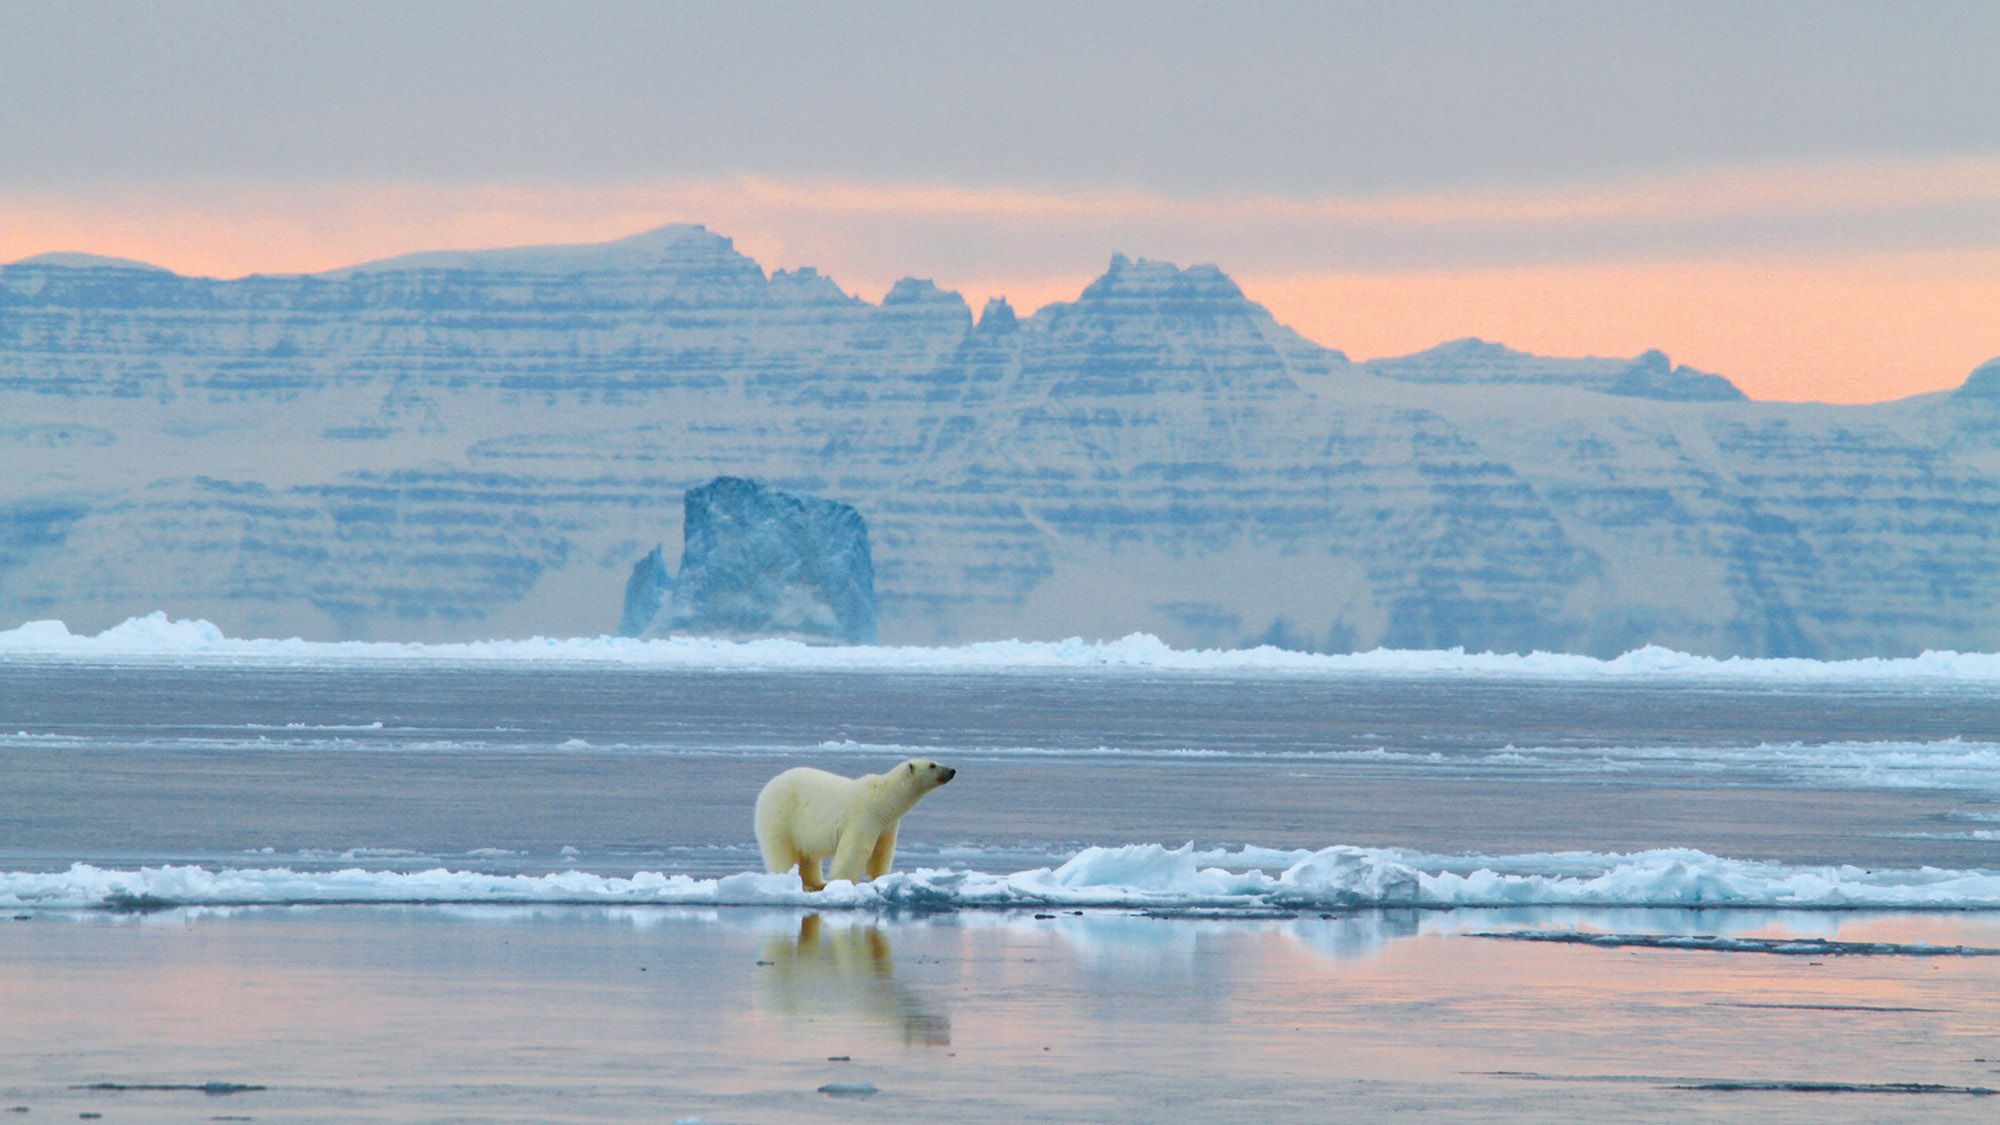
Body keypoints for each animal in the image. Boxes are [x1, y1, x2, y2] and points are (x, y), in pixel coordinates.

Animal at [754, 759, 956, 891]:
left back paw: (816, 883)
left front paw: (882, 879)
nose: (952, 770)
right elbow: (855, 851)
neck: (883, 800)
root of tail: (765, 790)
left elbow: (883, 852)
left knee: (808, 855)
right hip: (781, 816)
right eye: (932, 765)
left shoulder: (887, 824)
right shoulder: (864, 816)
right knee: (781, 851)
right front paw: (843, 883)